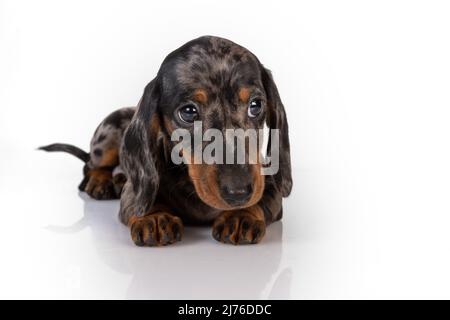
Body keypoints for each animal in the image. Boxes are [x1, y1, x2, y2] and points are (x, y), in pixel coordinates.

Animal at [40, 35, 294, 245]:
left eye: (255, 105)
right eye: (188, 112)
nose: (238, 192)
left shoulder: (269, 185)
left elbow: (264, 198)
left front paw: (241, 214)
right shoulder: (133, 193)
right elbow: (142, 198)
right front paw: (154, 217)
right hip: (109, 132)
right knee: (91, 165)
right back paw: (100, 181)